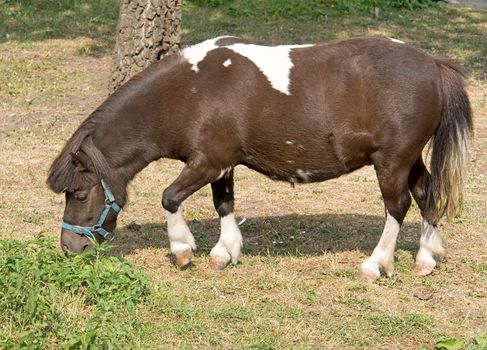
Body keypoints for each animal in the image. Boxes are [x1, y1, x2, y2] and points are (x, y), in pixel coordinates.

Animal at [46, 36, 472, 282]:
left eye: (79, 193)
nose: (70, 248)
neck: (192, 92)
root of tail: (434, 65)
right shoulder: (221, 164)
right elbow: (224, 204)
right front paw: (225, 252)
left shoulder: (206, 162)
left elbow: (169, 197)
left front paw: (183, 250)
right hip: (408, 159)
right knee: (426, 193)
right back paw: (426, 257)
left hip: (391, 162)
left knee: (397, 206)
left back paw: (375, 264)